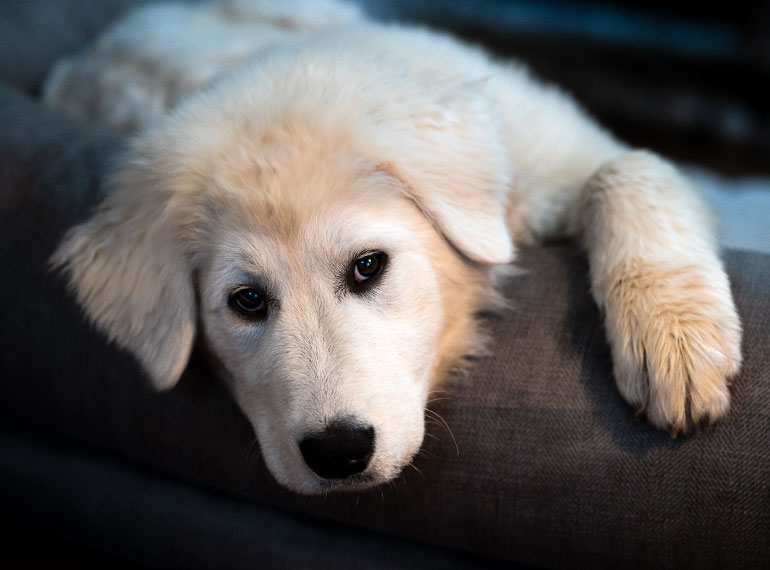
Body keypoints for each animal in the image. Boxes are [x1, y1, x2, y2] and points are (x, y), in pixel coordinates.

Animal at [46, 0, 736, 492]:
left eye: (367, 267)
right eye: (247, 301)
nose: (338, 453)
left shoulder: (563, 155)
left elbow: (629, 170)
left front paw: (676, 344)